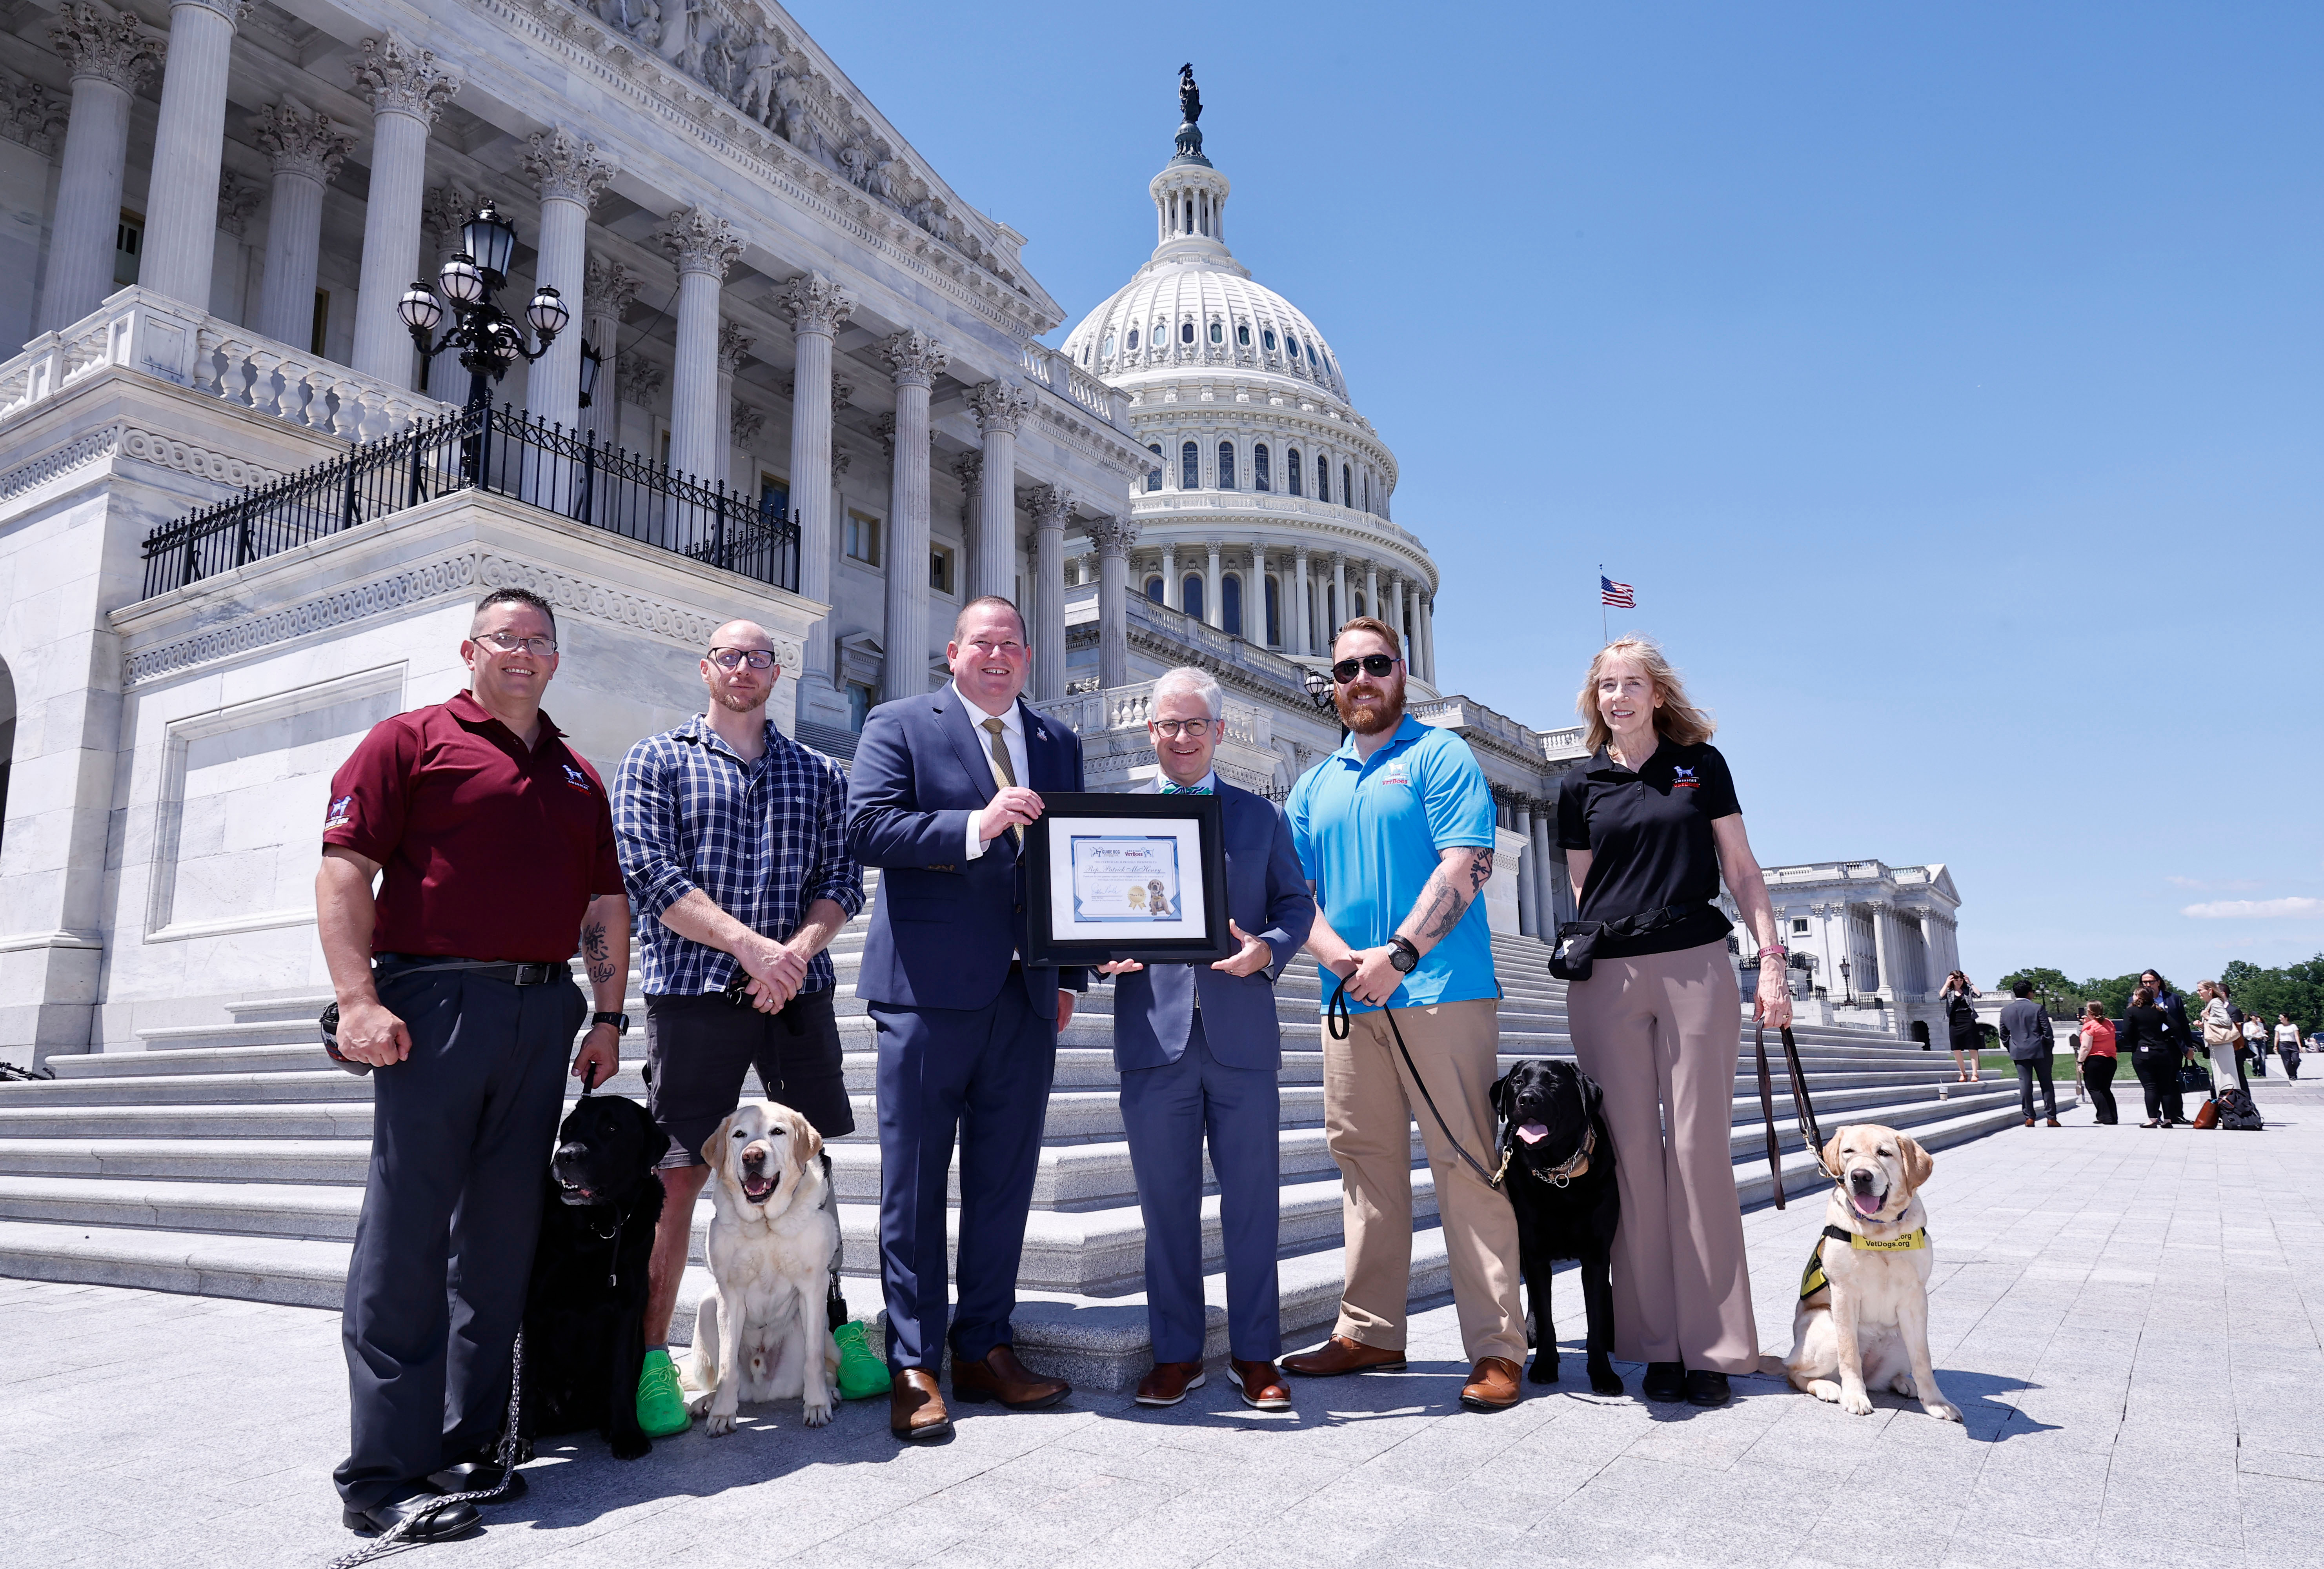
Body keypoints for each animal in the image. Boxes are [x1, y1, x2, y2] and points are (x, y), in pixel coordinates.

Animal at [506, 1092, 655, 1460]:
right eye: (569, 1128)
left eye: (612, 1128)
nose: (565, 1155)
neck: (595, 1227)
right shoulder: (531, 1309)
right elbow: (525, 1378)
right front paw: (515, 1443)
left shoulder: (627, 1308)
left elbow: (620, 1377)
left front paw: (627, 1434)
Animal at [1487, 1060, 1617, 1394]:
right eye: (1518, 1082)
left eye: (1555, 1083)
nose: (1528, 1099)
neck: (1559, 1172)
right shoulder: (1534, 1254)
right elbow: (1545, 1315)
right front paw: (1545, 1365)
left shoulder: (1597, 1255)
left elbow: (1595, 1317)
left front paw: (1603, 1373)